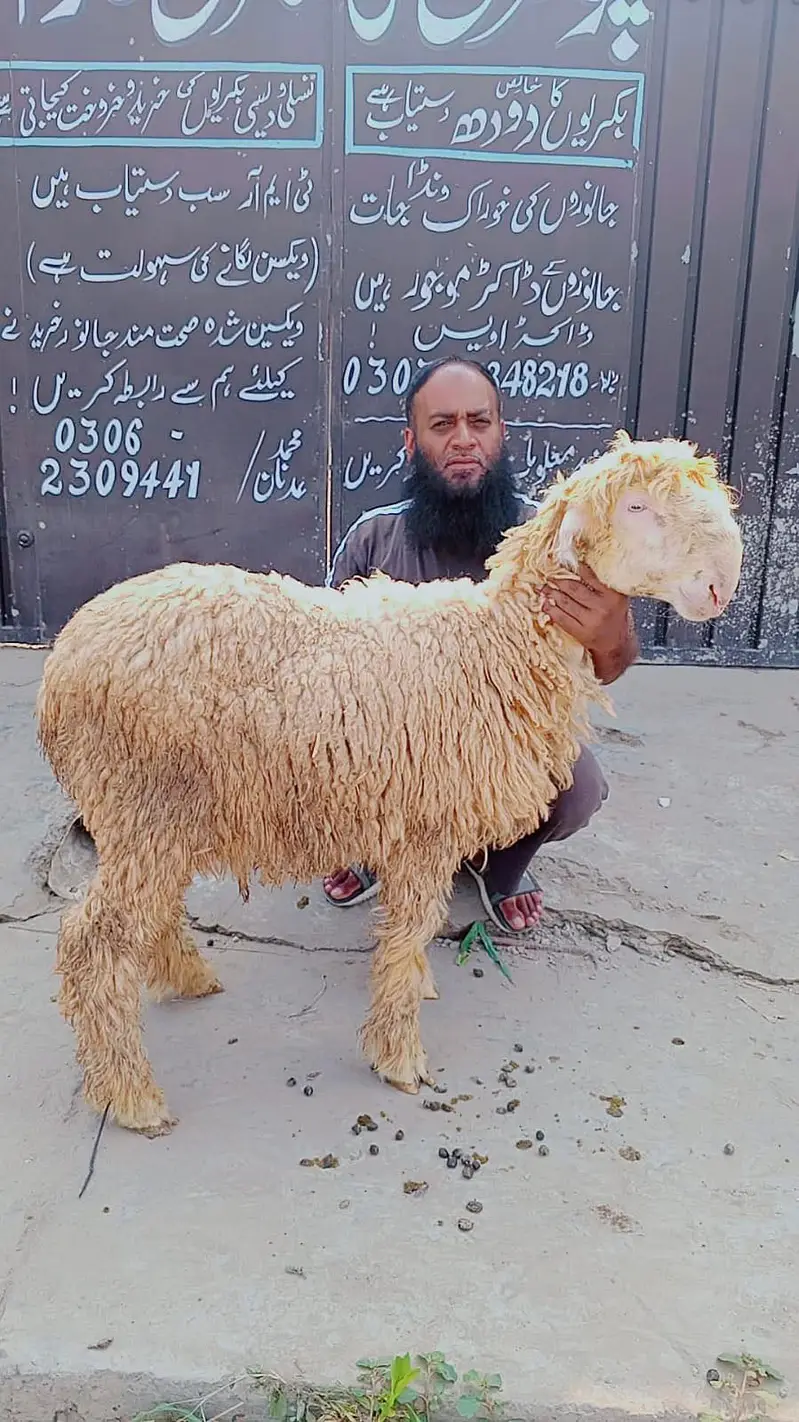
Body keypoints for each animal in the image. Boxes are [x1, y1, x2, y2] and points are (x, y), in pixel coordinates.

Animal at [36, 431, 743, 1135]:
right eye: (636, 507)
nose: (721, 584)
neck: (497, 649)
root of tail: (63, 658)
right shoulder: (427, 829)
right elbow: (409, 932)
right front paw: (399, 1056)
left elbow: (414, 934)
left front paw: (415, 991)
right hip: (140, 801)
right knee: (94, 942)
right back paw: (133, 1097)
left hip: (158, 815)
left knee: (147, 915)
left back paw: (187, 979)